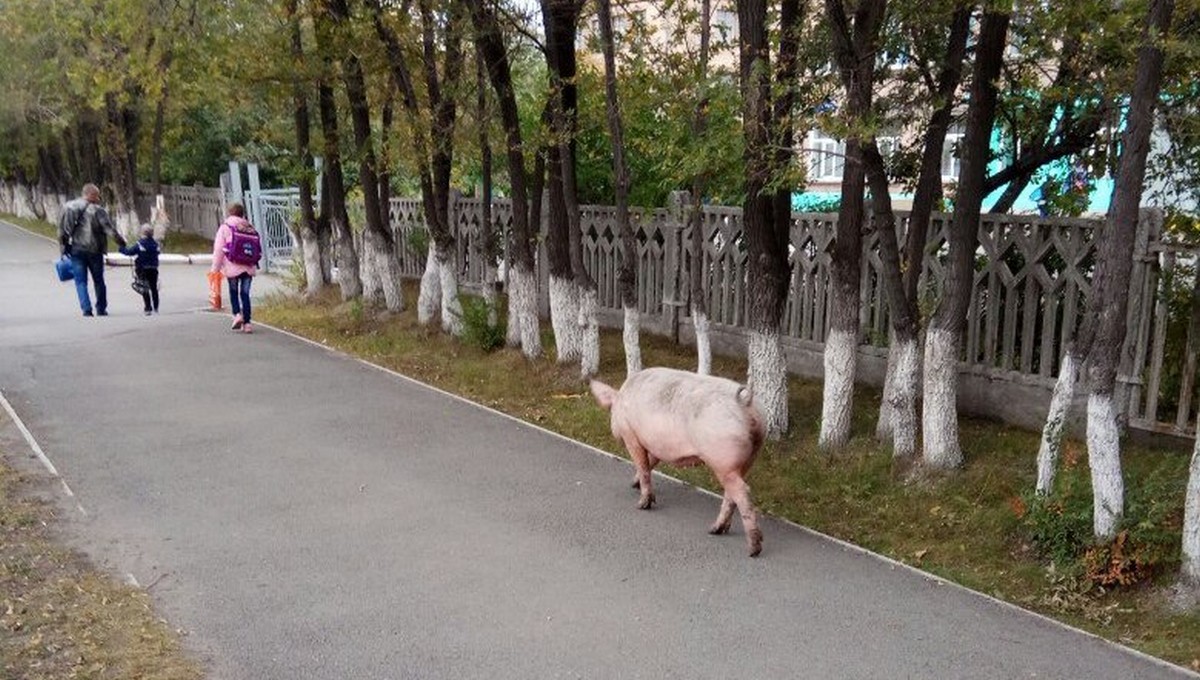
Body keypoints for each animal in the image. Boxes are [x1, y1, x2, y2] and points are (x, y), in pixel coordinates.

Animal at [590, 366, 768, 558]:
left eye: (610, 411)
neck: (620, 400)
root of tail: (745, 403)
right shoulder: (656, 444)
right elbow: (649, 463)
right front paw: (634, 484)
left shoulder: (631, 435)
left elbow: (643, 465)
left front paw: (642, 503)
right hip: (750, 455)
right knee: (732, 493)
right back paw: (715, 530)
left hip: (723, 458)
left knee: (742, 491)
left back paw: (752, 549)